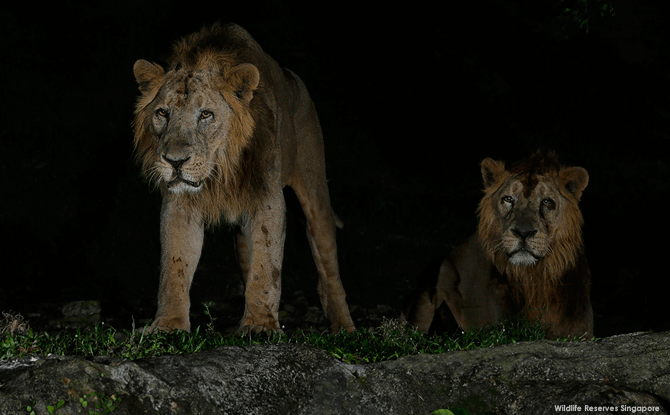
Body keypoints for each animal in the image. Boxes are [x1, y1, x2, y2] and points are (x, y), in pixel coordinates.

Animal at [133, 22, 360, 334]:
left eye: (206, 114)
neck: (220, 171)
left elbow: (266, 267)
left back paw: (344, 328)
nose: (175, 161)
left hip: (314, 189)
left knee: (328, 269)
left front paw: (261, 325)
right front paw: (168, 325)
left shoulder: (268, 199)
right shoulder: (180, 205)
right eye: (162, 113)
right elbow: (174, 265)